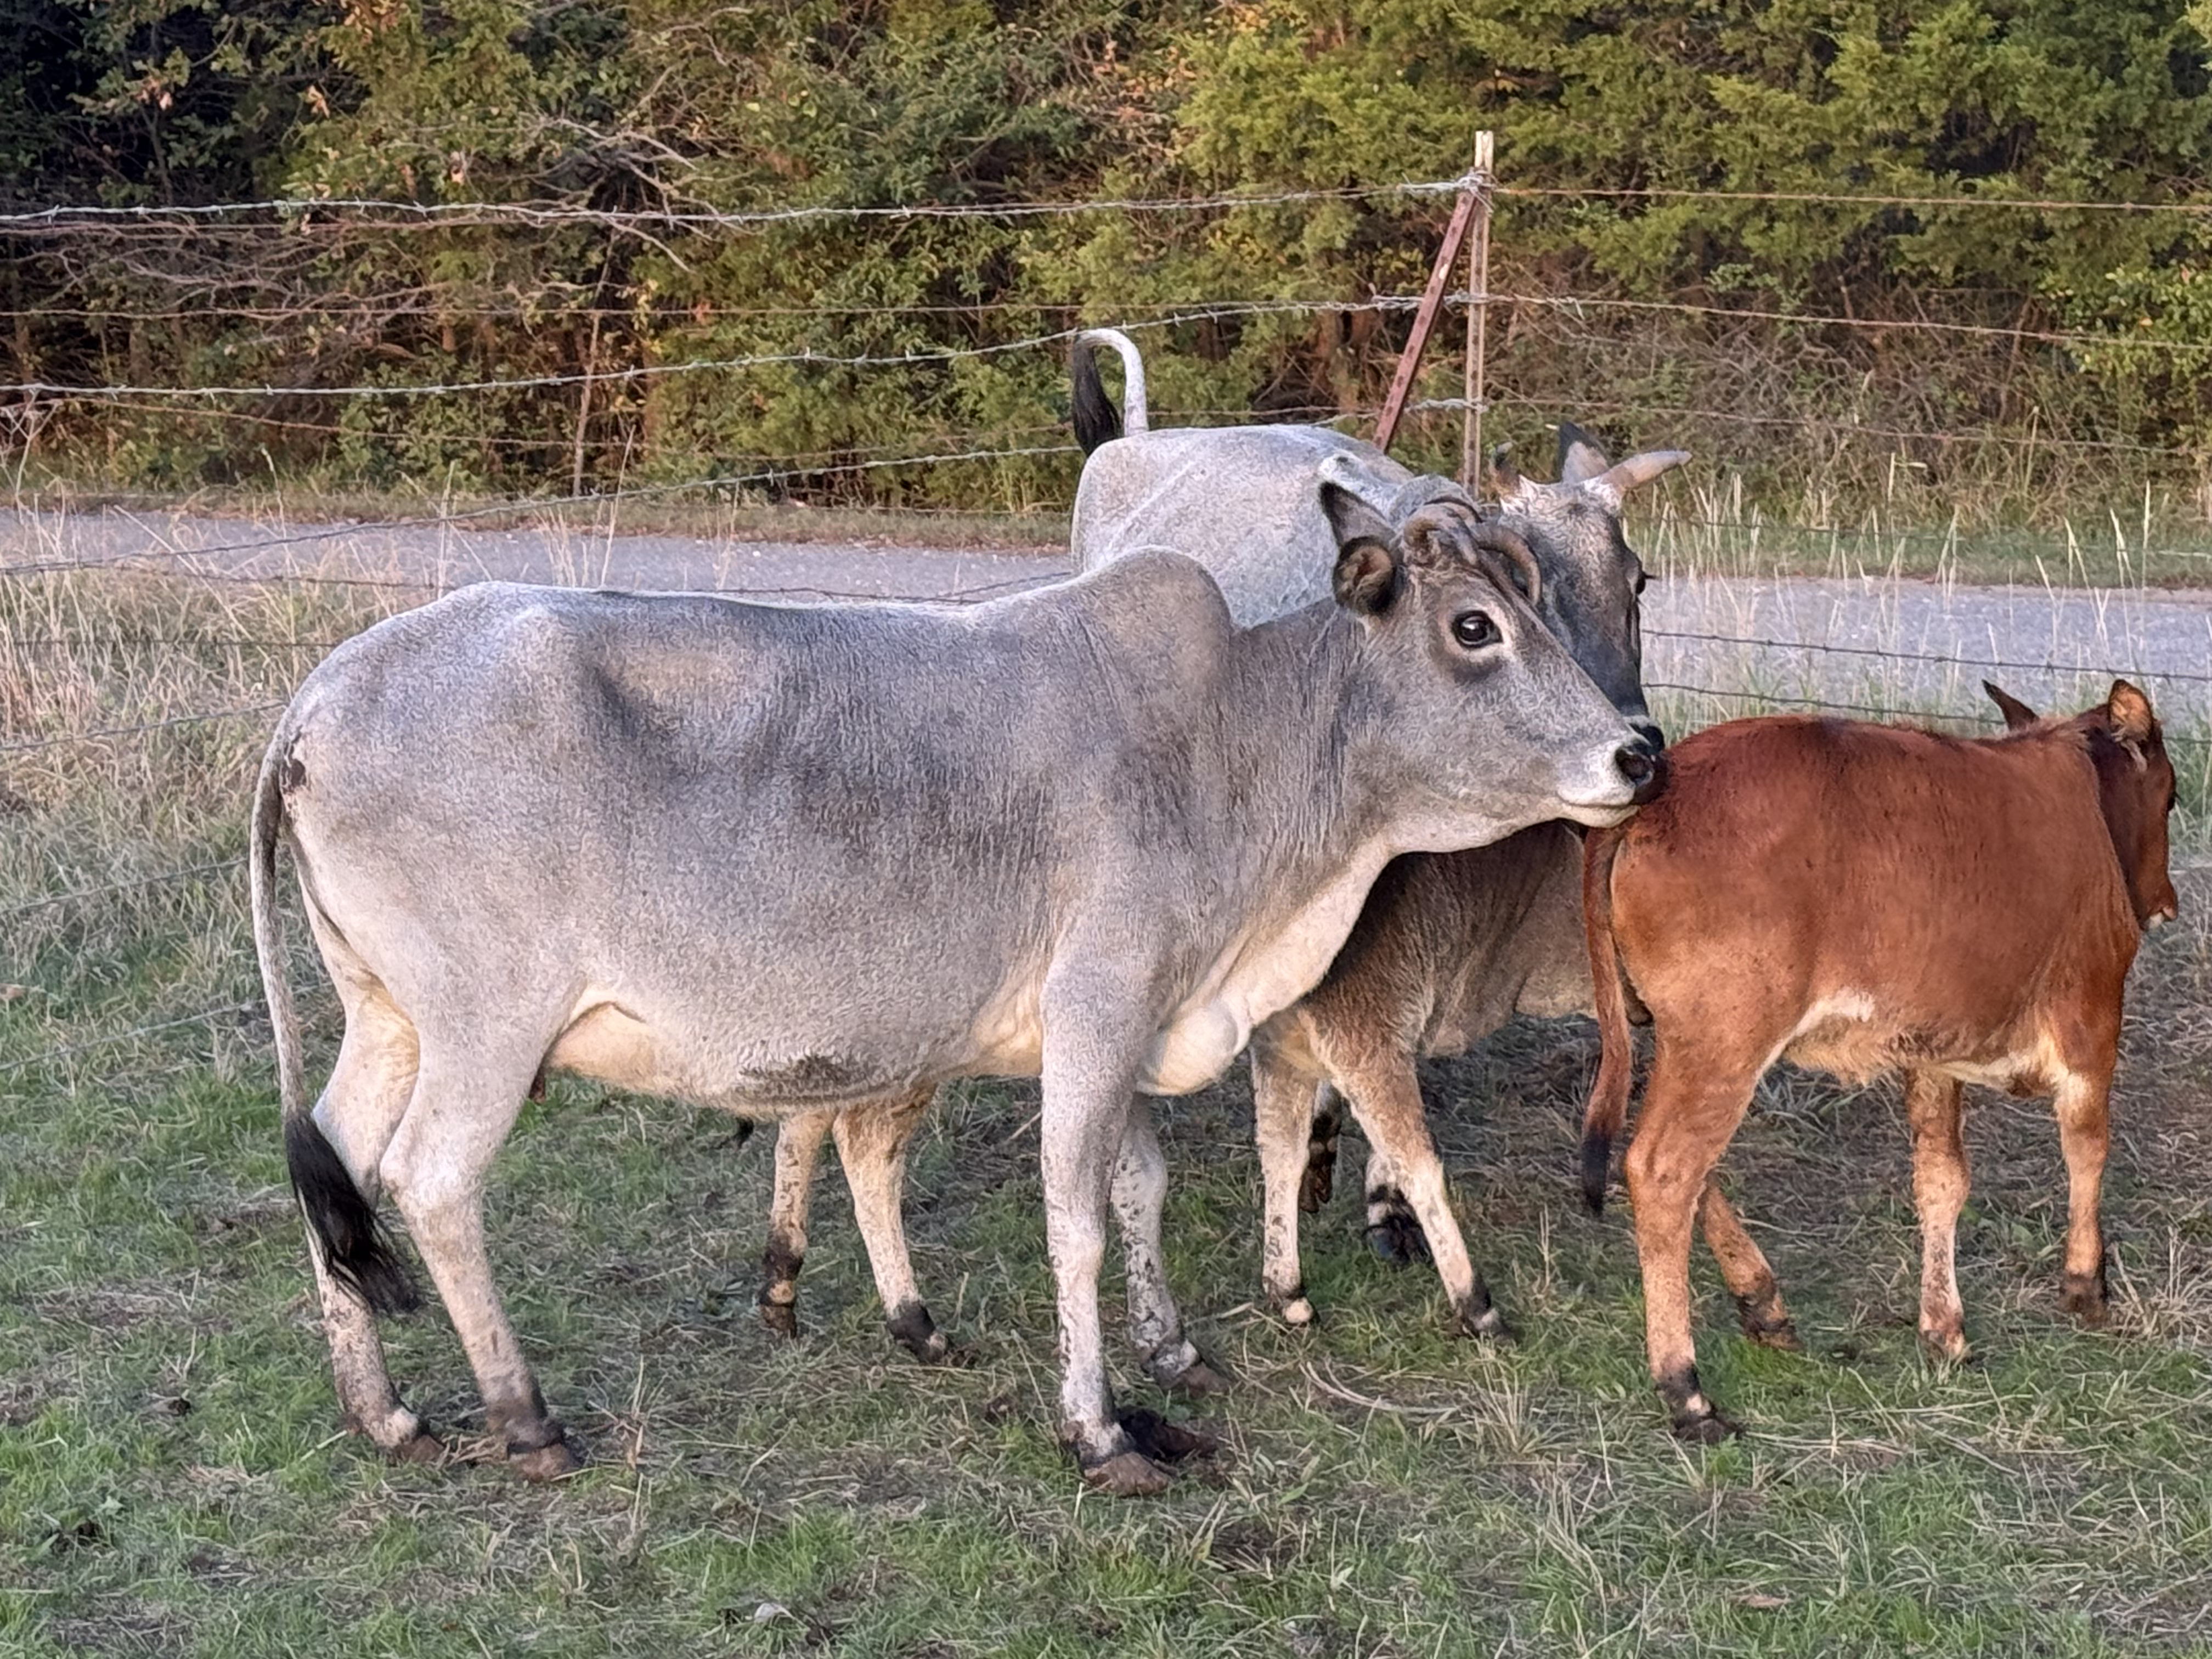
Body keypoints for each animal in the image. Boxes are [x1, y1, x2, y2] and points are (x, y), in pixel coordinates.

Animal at [1593, 681, 2176, 1451]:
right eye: (2171, 796)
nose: (2166, 903)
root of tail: (1658, 790)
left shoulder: (1933, 1053)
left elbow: (1942, 1180)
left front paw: (1943, 1327)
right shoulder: (2092, 1019)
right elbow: (2087, 1147)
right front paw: (2086, 1284)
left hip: (1684, 1043)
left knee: (1683, 1169)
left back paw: (1762, 1302)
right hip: (1723, 1043)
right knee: (1662, 1170)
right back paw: (1685, 1387)